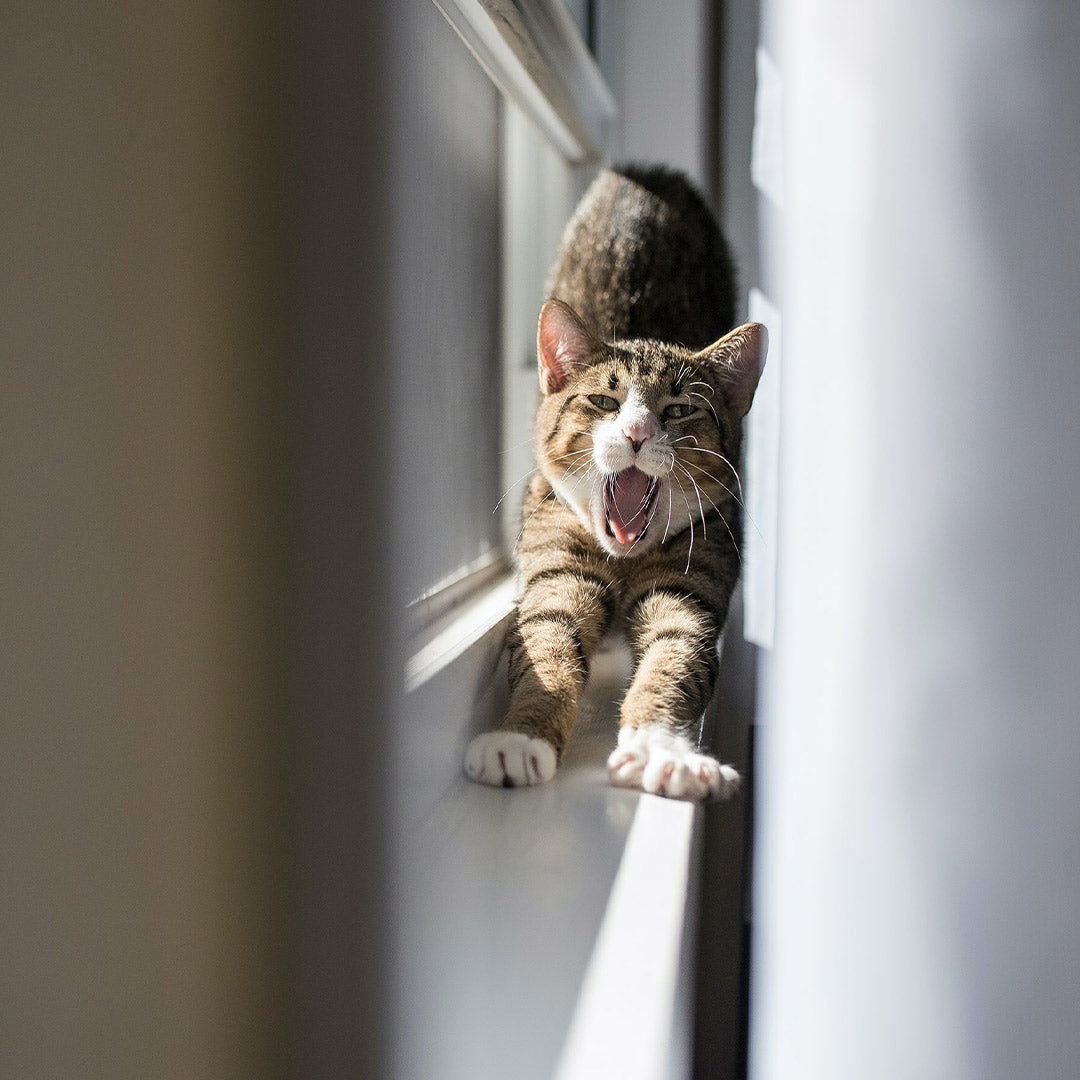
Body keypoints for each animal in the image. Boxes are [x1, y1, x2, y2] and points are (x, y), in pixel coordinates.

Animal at [464, 164, 768, 799]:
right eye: (603, 401)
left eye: (679, 410)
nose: (634, 432)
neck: (626, 560)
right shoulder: (555, 556)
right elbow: (546, 642)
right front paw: (518, 737)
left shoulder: (695, 573)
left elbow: (676, 654)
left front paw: (665, 752)